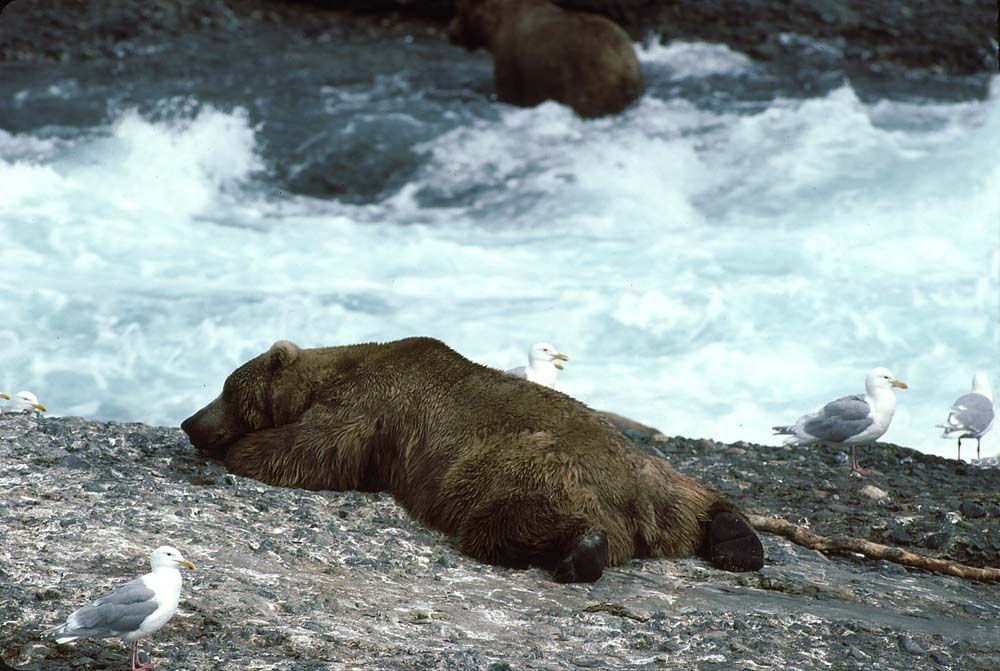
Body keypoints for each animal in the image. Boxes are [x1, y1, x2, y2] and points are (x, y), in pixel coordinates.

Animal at [181, 337, 763, 582]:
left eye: (228, 388)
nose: (190, 422)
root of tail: (633, 507)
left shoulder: (370, 406)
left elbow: (317, 448)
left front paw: (244, 450)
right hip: (656, 476)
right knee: (701, 496)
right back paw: (739, 544)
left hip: (516, 467)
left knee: (502, 522)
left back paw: (580, 553)